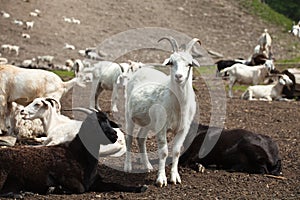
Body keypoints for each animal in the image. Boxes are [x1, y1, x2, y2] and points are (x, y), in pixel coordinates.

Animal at [0, 108, 146, 197]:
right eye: (95, 124)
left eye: (108, 121)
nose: (114, 135)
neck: (76, 154)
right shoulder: (63, 176)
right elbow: (80, 188)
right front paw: (56, 188)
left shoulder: (96, 182)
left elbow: (115, 184)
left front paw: (140, 188)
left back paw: (23, 193)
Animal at [124, 36, 202, 187]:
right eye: (171, 62)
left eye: (189, 64)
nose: (178, 76)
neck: (179, 105)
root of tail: (142, 70)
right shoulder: (161, 126)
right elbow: (164, 152)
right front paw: (161, 179)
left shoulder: (183, 128)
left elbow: (176, 151)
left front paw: (175, 178)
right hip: (129, 115)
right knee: (129, 138)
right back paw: (128, 167)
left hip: (148, 122)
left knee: (140, 138)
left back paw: (147, 166)